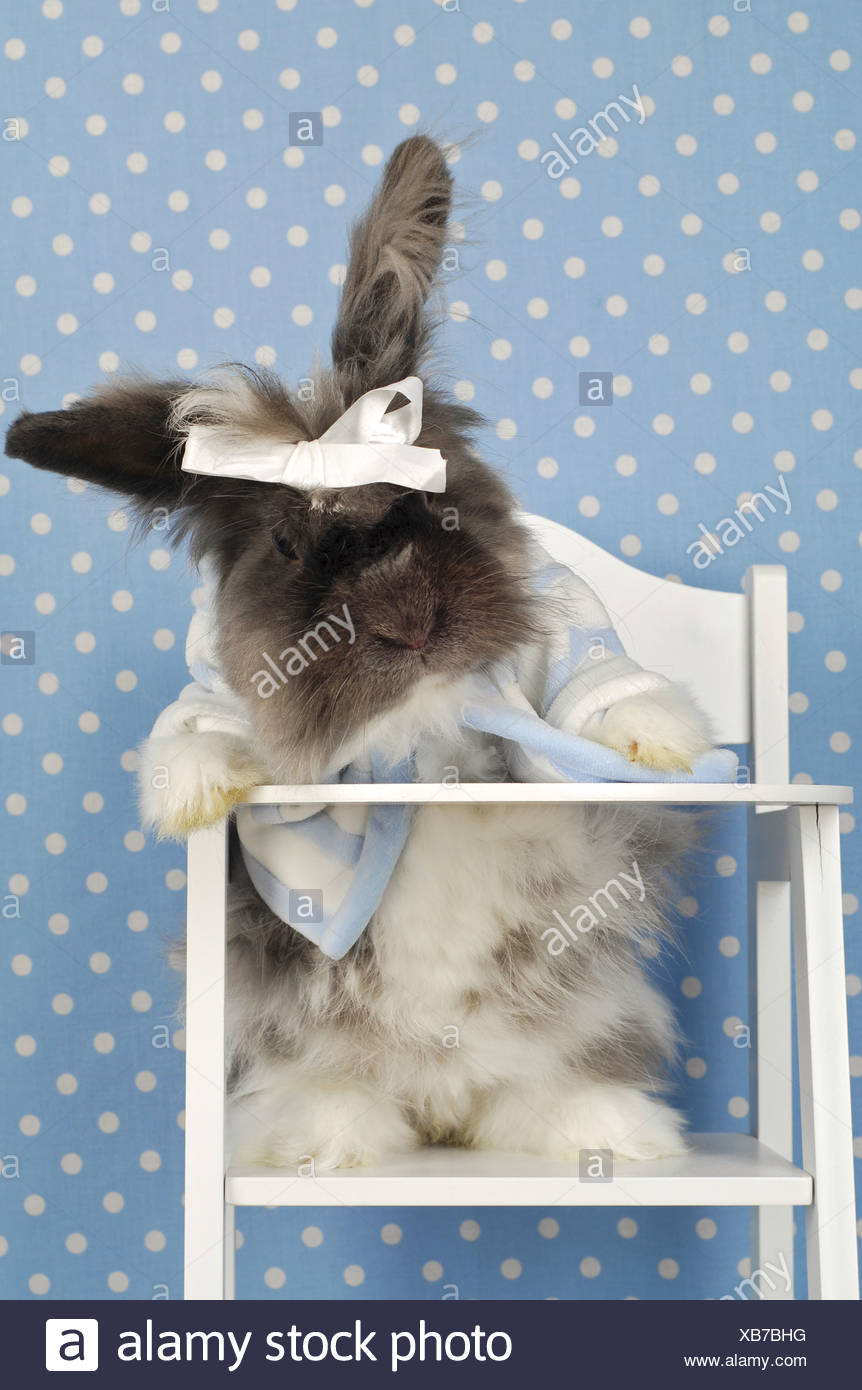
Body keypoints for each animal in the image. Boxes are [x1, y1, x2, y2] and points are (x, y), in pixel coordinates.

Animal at [5, 134, 715, 1171]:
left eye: (427, 502)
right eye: (287, 547)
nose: (406, 623)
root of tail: (444, 1112)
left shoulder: (558, 641)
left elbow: (595, 684)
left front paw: (663, 736)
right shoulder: (223, 691)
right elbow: (201, 723)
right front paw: (189, 792)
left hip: (587, 1012)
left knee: (554, 1082)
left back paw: (611, 1135)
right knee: (328, 1088)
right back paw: (327, 1138)